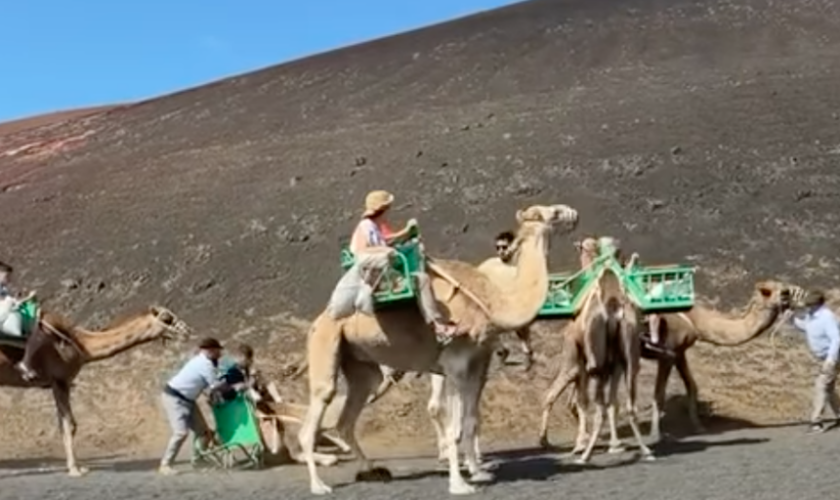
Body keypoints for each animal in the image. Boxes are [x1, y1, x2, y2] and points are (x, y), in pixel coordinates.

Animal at [0, 304, 189, 476]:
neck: (82, 344)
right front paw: (75, 470)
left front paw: (78, 467)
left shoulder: (58, 383)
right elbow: (70, 425)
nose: (187, 330)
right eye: (166, 318)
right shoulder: (61, 381)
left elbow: (65, 425)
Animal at [296, 201, 576, 494]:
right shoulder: (454, 364)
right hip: (324, 341)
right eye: (551, 213)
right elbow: (453, 426)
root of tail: (320, 319)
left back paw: (373, 471)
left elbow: (470, 420)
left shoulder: (476, 363)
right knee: (318, 407)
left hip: (360, 364)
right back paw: (319, 486)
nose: (572, 214)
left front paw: (479, 473)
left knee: (348, 417)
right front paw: (459, 484)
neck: (492, 302)